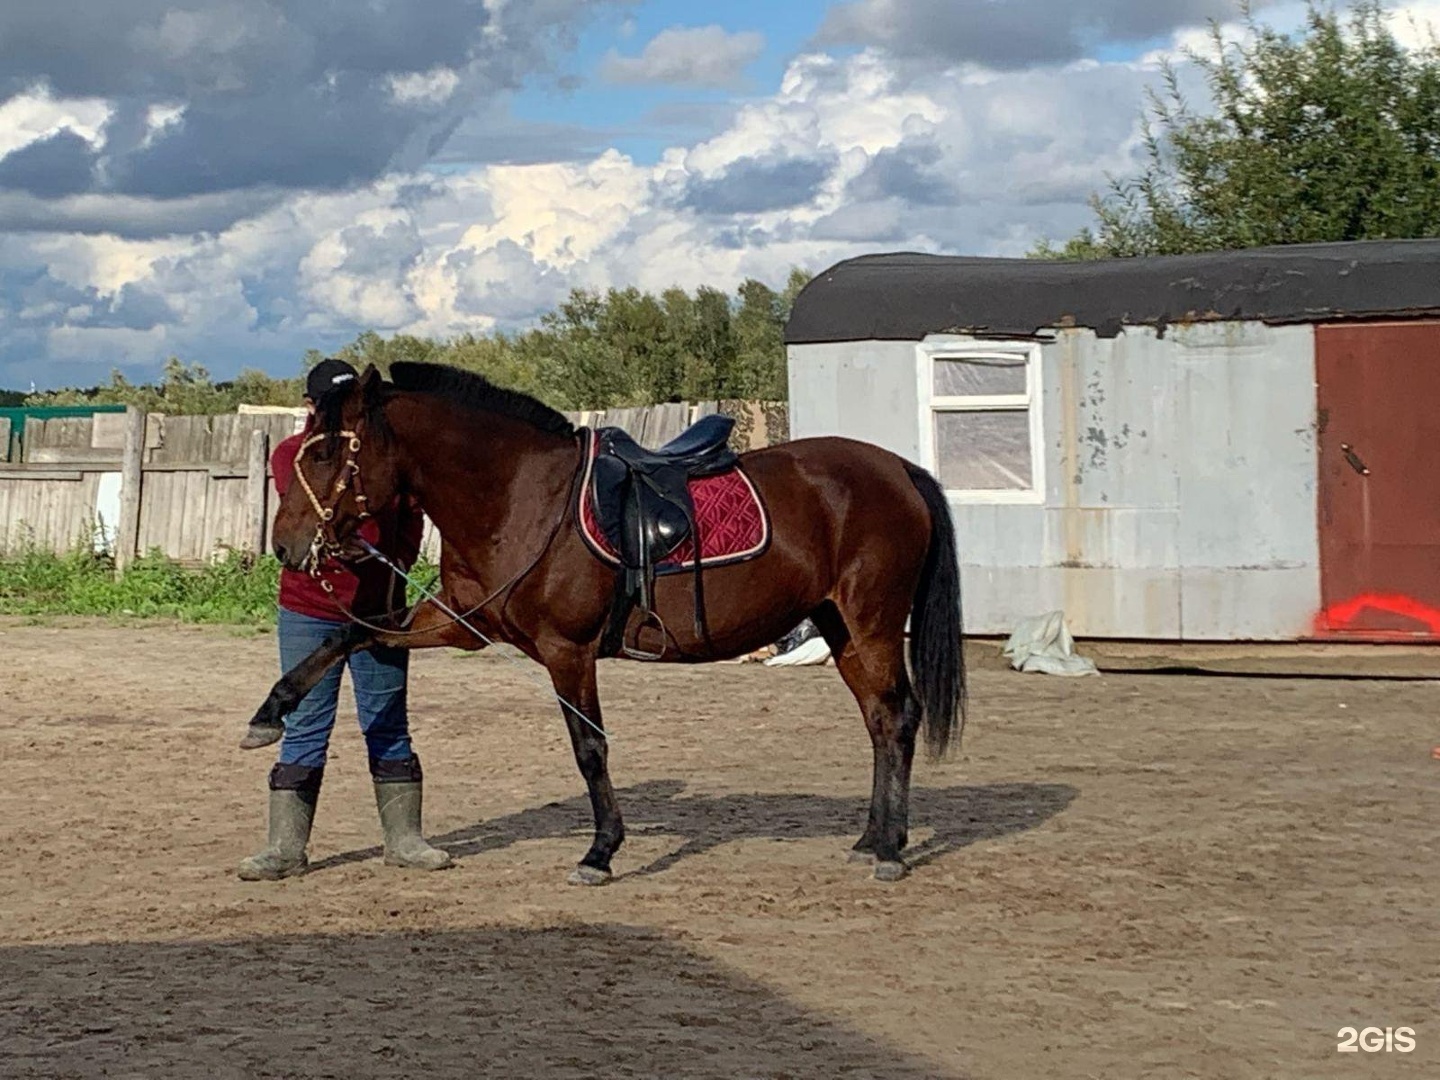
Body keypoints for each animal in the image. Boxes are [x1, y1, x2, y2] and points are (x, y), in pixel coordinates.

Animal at [256, 360, 967, 881]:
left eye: (326, 453)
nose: (286, 544)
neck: (520, 494)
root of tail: (898, 468)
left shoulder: (566, 650)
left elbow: (589, 748)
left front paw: (600, 852)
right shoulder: (456, 622)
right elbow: (347, 634)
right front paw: (270, 713)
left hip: (872, 624)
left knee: (898, 718)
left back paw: (890, 849)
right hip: (841, 628)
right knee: (878, 722)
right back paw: (871, 838)